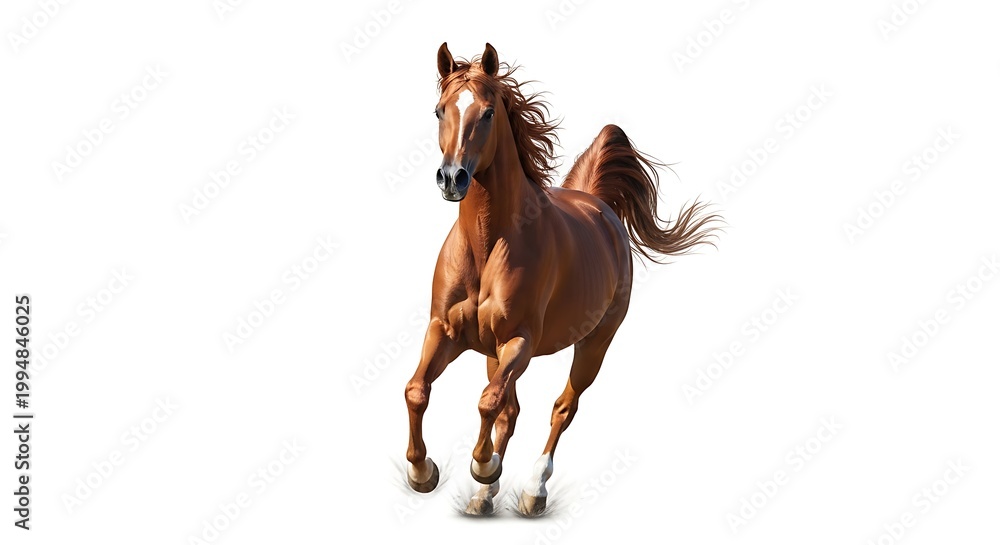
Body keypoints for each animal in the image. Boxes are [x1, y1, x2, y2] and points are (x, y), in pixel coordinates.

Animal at [403, 42, 721, 516]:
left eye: (488, 113)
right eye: (440, 110)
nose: (452, 178)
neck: (489, 244)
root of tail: (598, 206)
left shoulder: (520, 340)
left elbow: (488, 401)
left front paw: (482, 466)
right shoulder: (446, 330)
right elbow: (419, 390)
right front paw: (424, 472)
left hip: (593, 343)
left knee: (561, 408)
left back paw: (532, 491)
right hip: (493, 351)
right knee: (510, 412)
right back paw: (484, 496)